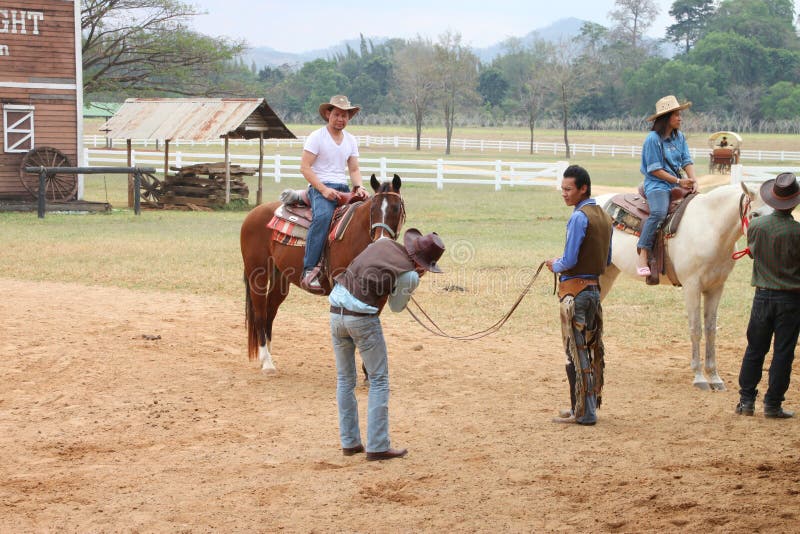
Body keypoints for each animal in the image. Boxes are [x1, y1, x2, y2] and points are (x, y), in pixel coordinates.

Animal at [236, 175, 400, 372]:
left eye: (397, 207)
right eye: (373, 208)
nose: (381, 240)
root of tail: (253, 213)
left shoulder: (378, 296)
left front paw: (369, 371)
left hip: (280, 279)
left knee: (270, 311)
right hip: (257, 276)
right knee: (260, 313)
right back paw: (267, 362)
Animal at [596, 184, 772, 394]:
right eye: (754, 214)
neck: (711, 227)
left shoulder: (716, 288)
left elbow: (711, 330)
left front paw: (714, 377)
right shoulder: (691, 286)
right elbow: (696, 329)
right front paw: (699, 377)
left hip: (607, 273)